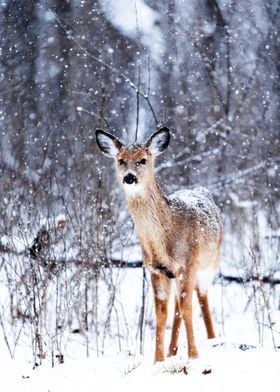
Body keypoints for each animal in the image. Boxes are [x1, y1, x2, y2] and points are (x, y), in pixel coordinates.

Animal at [96, 127, 223, 366]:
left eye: (143, 160)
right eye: (121, 160)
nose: (129, 177)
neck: (164, 242)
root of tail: (202, 190)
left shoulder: (187, 265)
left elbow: (187, 308)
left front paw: (194, 356)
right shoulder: (155, 270)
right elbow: (161, 313)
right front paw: (158, 360)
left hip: (209, 263)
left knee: (201, 298)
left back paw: (212, 340)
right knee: (177, 308)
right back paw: (173, 351)